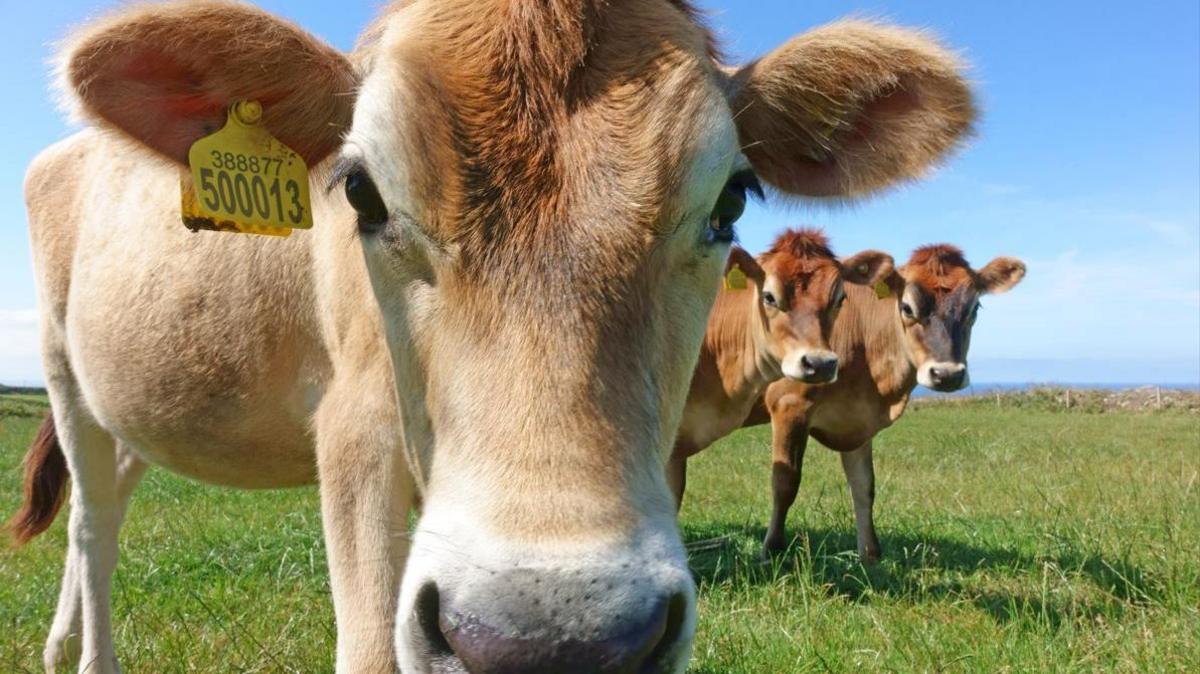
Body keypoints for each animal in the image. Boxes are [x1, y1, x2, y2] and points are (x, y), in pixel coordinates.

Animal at [748, 243, 1022, 558]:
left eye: (974, 308)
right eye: (907, 307)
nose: (947, 374)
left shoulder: (859, 418)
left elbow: (864, 486)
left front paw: (870, 554)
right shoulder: (788, 403)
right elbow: (785, 482)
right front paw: (771, 550)